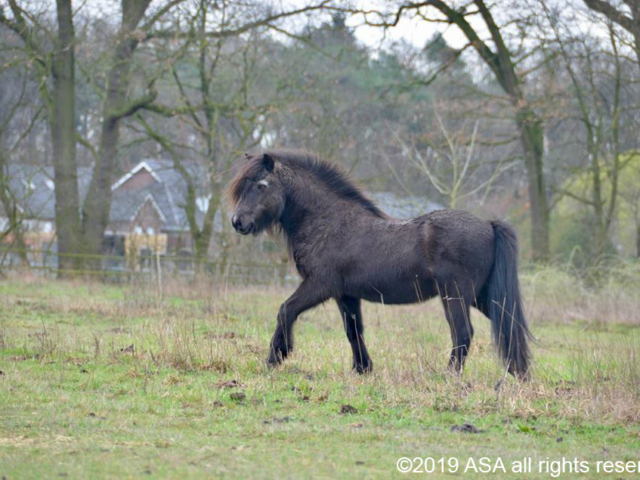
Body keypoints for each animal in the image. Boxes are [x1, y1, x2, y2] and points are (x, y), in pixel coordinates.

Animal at [228, 150, 532, 378]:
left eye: (261, 185)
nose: (238, 222)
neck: (327, 221)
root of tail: (489, 225)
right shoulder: (345, 295)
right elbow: (353, 331)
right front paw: (362, 369)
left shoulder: (319, 285)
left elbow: (285, 310)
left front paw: (276, 357)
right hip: (481, 296)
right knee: (508, 325)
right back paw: (519, 374)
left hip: (455, 295)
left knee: (463, 333)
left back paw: (450, 376)